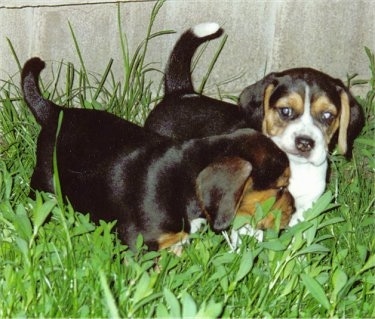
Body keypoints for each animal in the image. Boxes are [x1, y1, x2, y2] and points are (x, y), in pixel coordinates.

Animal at [22, 57, 296, 252]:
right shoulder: (138, 246)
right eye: (281, 187)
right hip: (44, 185)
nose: (293, 211)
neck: (184, 181)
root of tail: (55, 111)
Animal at [143, 21, 364, 228]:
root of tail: (181, 92)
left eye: (327, 115)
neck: (297, 167)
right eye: (286, 111)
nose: (305, 143)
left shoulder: (308, 205)